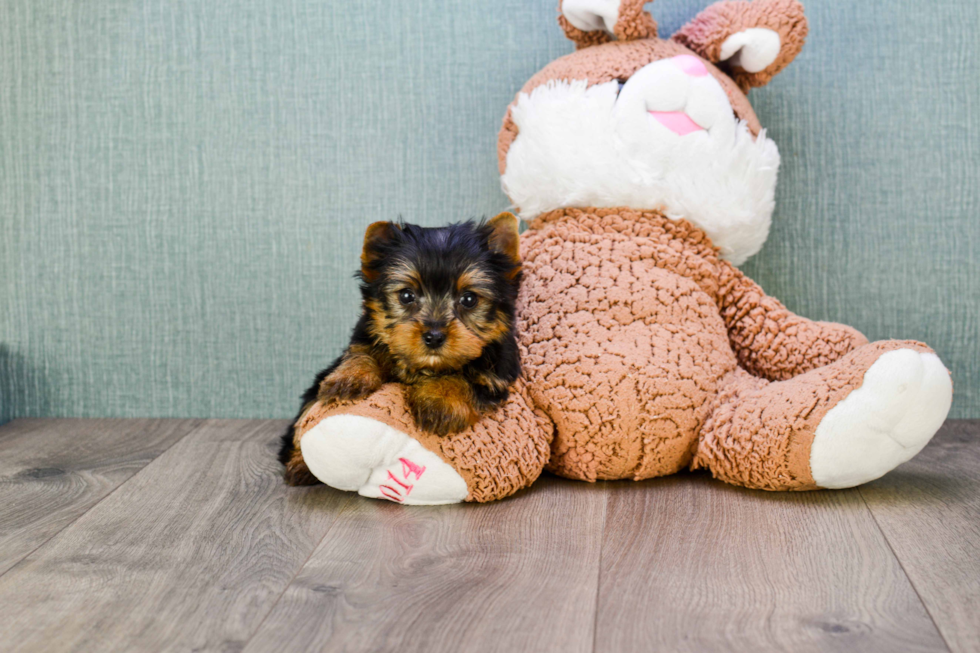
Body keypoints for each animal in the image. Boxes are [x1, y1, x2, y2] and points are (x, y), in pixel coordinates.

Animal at [280, 213, 524, 484]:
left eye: (469, 299)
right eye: (407, 296)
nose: (434, 336)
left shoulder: (495, 376)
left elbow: (462, 377)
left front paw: (440, 401)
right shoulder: (366, 338)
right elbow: (360, 354)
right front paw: (350, 377)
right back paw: (301, 464)